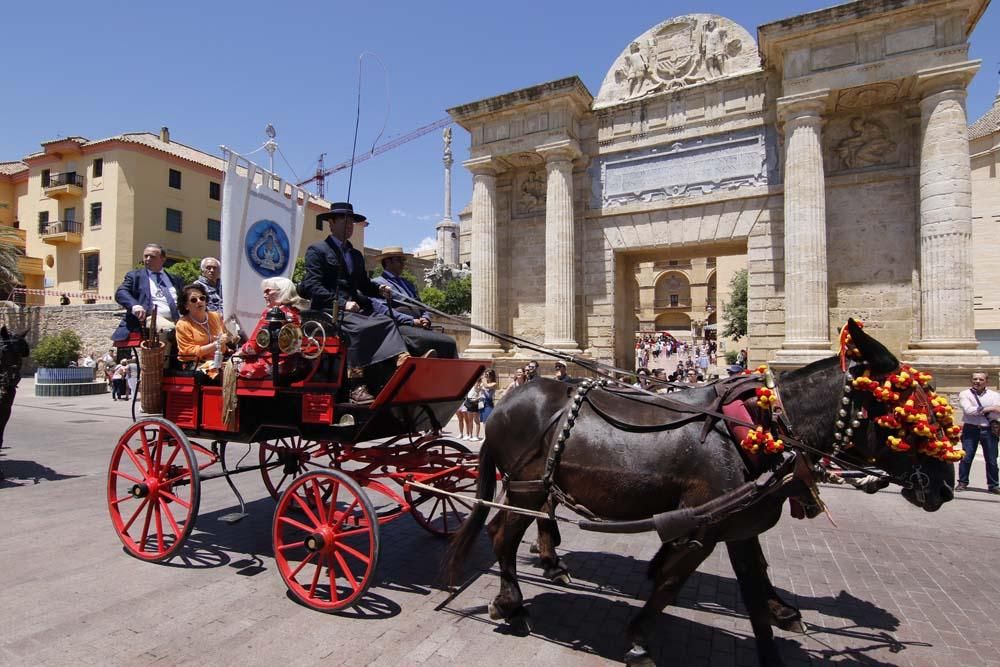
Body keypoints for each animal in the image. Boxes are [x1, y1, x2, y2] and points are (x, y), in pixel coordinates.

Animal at [450, 320, 956, 664]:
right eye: (910, 409)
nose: (945, 487)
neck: (756, 426)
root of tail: (507, 403)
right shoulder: (702, 529)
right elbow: (673, 583)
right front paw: (639, 638)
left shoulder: (739, 523)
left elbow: (755, 585)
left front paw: (778, 624)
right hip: (526, 489)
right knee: (502, 537)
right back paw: (512, 603)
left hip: (528, 490)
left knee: (511, 528)